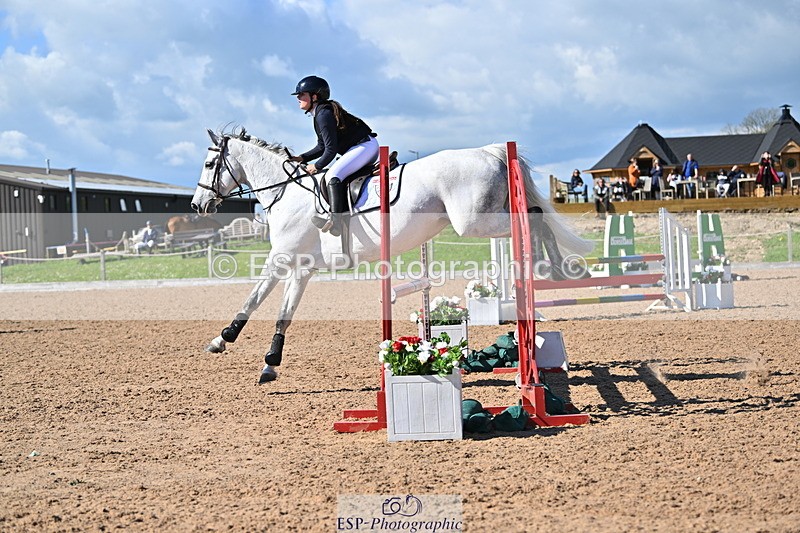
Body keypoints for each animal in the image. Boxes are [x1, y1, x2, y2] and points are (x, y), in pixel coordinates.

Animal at [190, 128, 591, 383]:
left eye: (209, 165)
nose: (197, 205)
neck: (285, 192)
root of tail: (488, 150)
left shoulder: (281, 259)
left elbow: (254, 299)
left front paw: (226, 340)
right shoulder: (300, 268)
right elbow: (279, 313)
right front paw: (265, 362)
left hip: (474, 223)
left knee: (532, 218)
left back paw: (547, 265)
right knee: (535, 217)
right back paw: (558, 268)